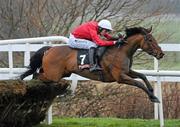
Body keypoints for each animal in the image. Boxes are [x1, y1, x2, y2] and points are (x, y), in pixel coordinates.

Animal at [20, 26, 165, 102]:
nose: (161, 54)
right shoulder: (120, 77)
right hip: (53, 75)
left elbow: (143, 76)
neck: (121, 51)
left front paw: (152, 92)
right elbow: (139, 83)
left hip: (60, 73)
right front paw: (153, 97)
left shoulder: (127, 71)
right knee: (36, 76)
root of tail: (49, 49)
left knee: (37, 75)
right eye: (150, 39)